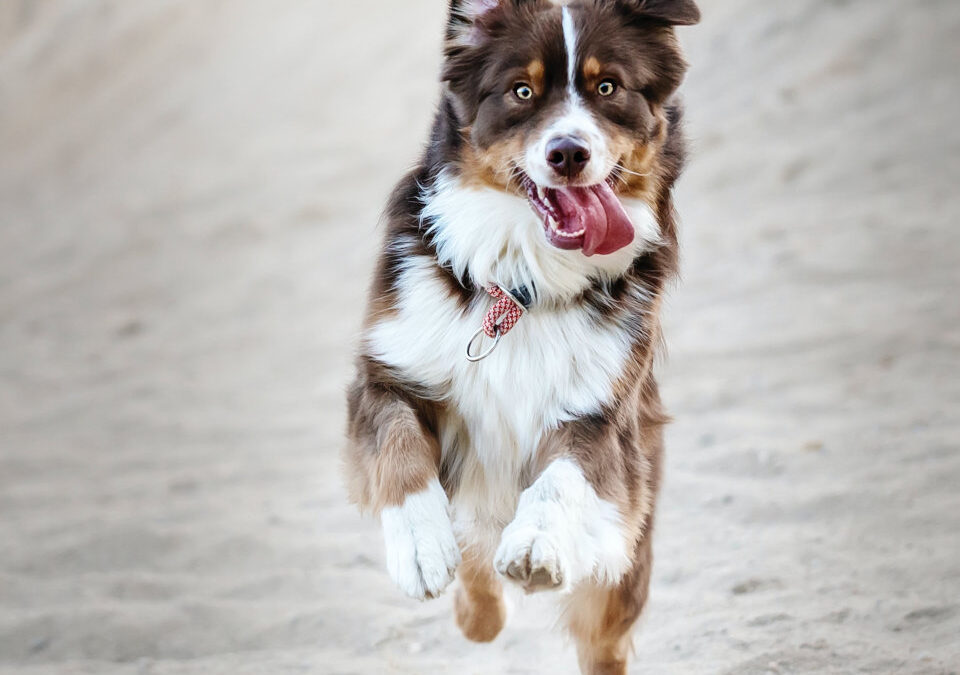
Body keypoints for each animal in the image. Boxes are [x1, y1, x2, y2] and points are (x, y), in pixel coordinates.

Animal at [344, 1, 696, 672]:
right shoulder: (388, 373)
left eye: (607, 87)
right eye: (522, 91)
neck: (522, 282)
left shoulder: (600, 414)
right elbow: (399, 447)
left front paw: (536, 544)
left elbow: (561, 477)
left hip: (625, 561)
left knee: (603, 641)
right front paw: (421, 547)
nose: (568, 153)